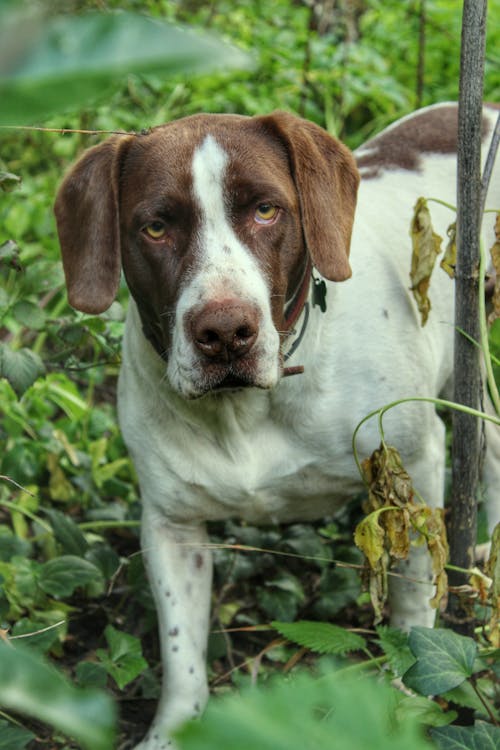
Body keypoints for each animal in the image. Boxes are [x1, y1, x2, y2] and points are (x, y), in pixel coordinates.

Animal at [52, 103, 498, 748]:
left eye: (266, 210)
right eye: (155, 226)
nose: (224, 332)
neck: (245, 406)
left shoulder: (412, 471)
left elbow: (415, 609)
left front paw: (407, 701)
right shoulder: (171, 526)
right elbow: (181, 656)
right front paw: (172, 731)